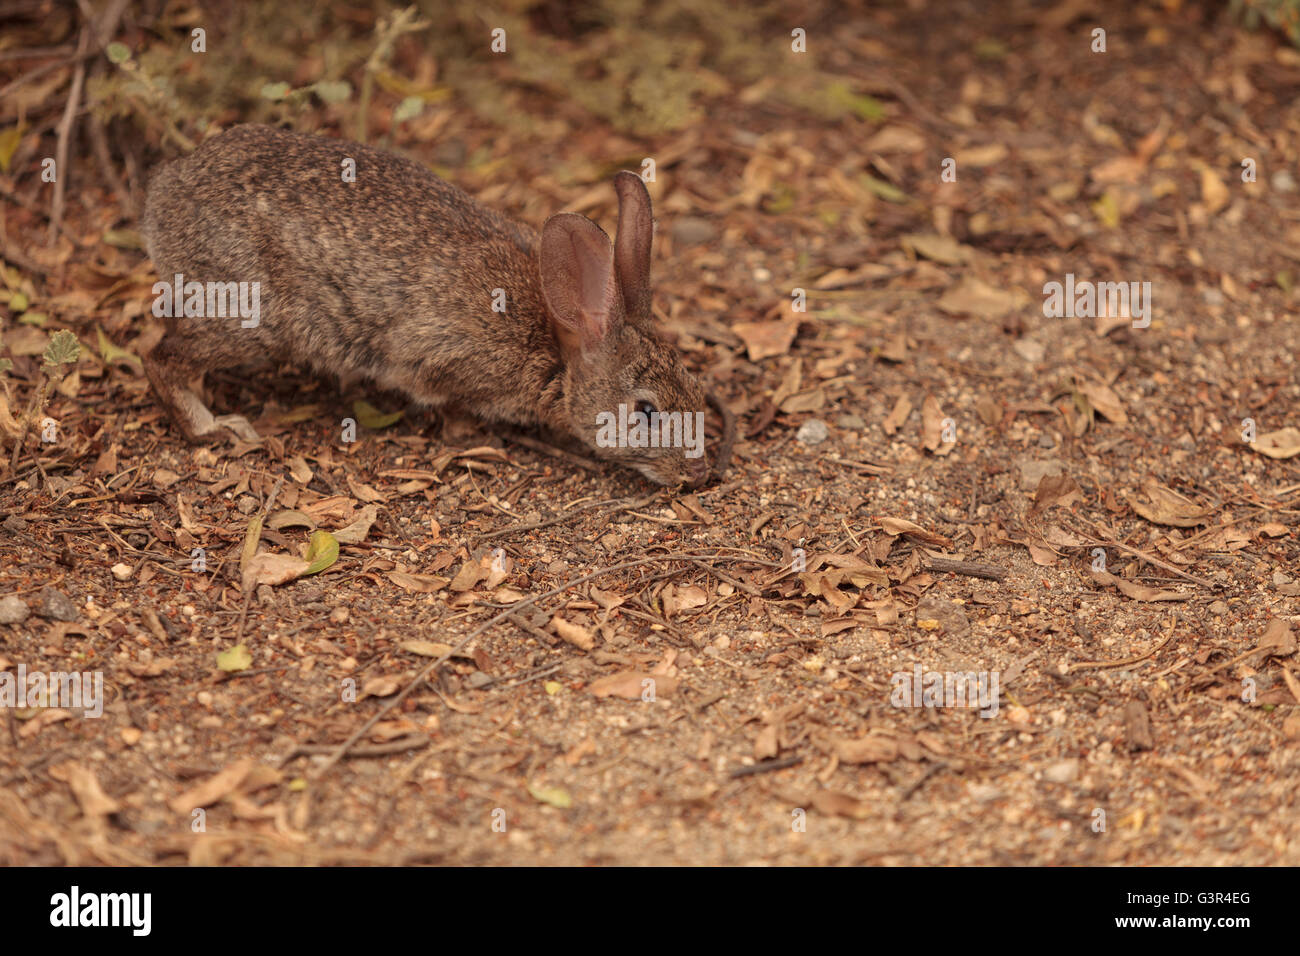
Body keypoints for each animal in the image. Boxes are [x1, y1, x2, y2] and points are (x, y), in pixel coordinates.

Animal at [141, 123, 712, 486]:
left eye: (696, 386)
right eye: (646, 412)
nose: (700, 471)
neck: (555, 349)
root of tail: (165, 192)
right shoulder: (444, 360)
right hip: (247, 318)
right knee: (160, 357)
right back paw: (213, 427)